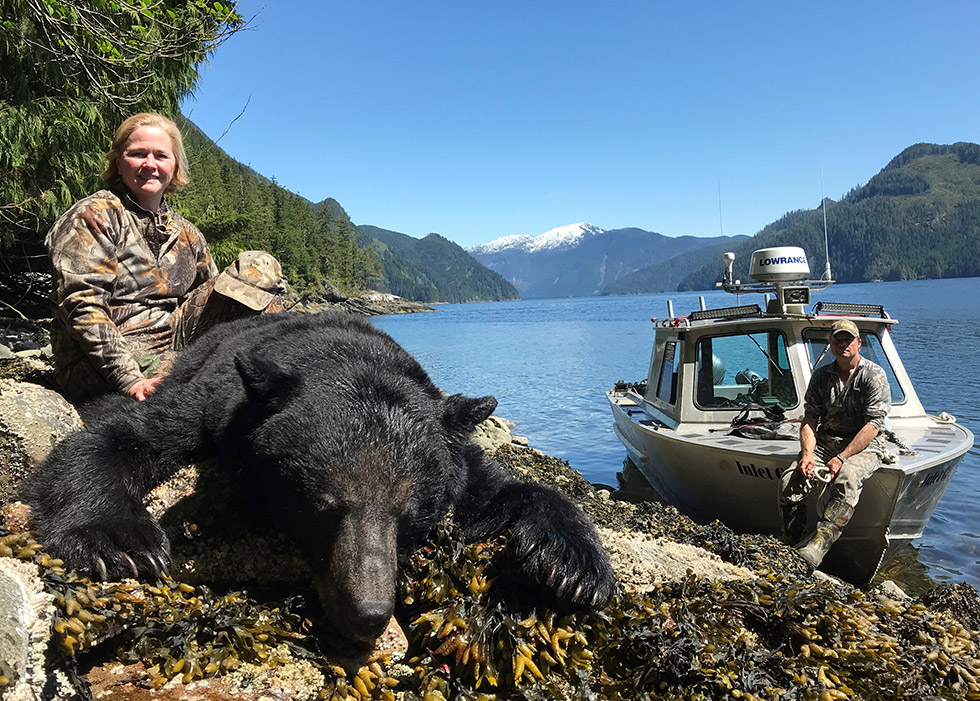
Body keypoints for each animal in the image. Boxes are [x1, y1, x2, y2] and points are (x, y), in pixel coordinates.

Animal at [18, 311, 616, 646]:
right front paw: (121, 539)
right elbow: (121, 432)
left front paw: (572, 564)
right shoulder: (218, 403)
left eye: (411, 518)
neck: (344, 357)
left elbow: (503, 490)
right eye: (323, 507)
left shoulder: (452, 451)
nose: (369, 613)